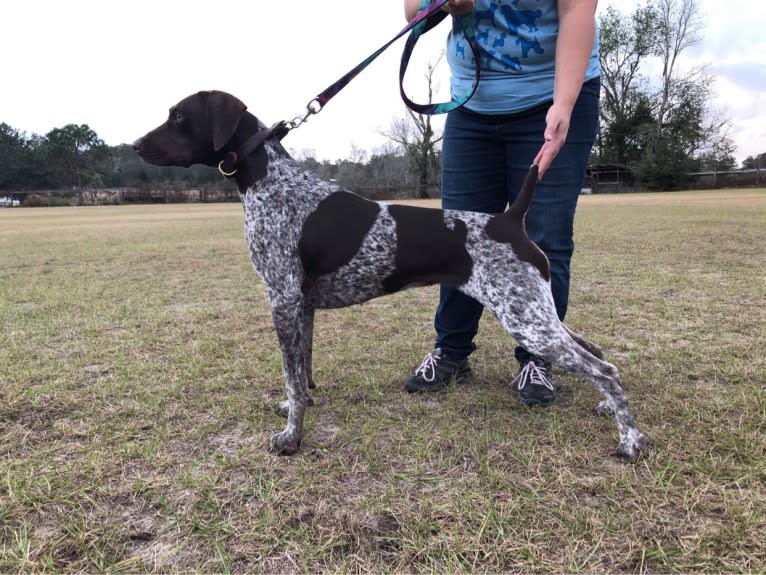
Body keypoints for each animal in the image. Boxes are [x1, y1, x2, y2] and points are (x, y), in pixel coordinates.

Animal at [134, 90, 648, 462]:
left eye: (178, 116)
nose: (136, 145)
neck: (268, 180)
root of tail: (509, 219)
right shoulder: (300, 305)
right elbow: (302, 371)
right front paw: (298, 410)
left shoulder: (281, 300)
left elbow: (291, 375)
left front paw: (290, 438)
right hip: (538, 313)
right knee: (598, 353)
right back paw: (610, 409)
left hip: (527, 321)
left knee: (602, 368)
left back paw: (630, 441)